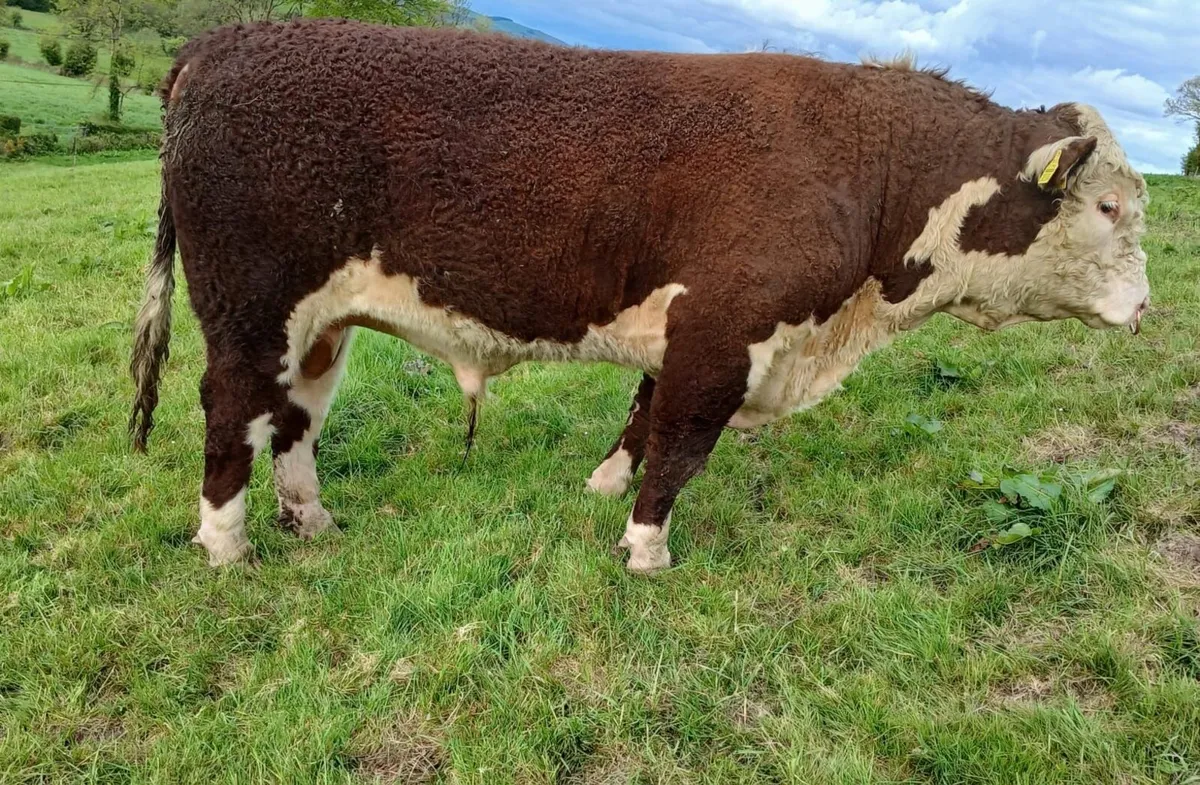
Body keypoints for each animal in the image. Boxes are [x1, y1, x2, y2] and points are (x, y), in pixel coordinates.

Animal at [129, 19, 1150, 573]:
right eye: (1108, 204)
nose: (1146, 309)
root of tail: (222, 42)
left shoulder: (692, 325)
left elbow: (644, 413)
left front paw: (601, 487)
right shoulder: (726, 329)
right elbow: (682, 445)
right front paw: (646, 547)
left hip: (321, 320)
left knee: (297, 413)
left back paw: (313, 518)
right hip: (252, 304)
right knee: (233, 408)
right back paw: (226, 543)